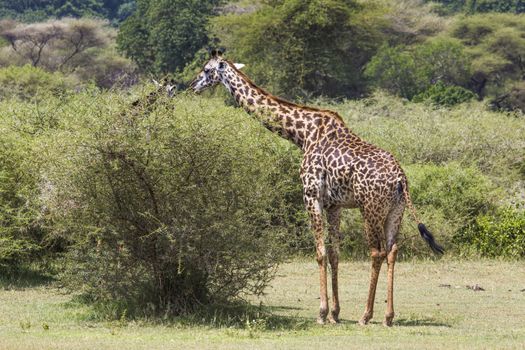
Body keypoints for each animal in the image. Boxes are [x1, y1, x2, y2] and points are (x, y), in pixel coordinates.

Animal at [188, 50, 442, 326]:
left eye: (206, 69)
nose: (192, 86)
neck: (303, 134)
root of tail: (400, 179)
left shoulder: (311, 196)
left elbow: (320, 253)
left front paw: (321, 313)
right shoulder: (334, 205)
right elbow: (334, 254)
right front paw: (335, 313)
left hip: (370, 209)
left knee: (377, 252)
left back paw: (366, 315)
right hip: (396, 210)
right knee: (393, 251)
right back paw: (388, 316)